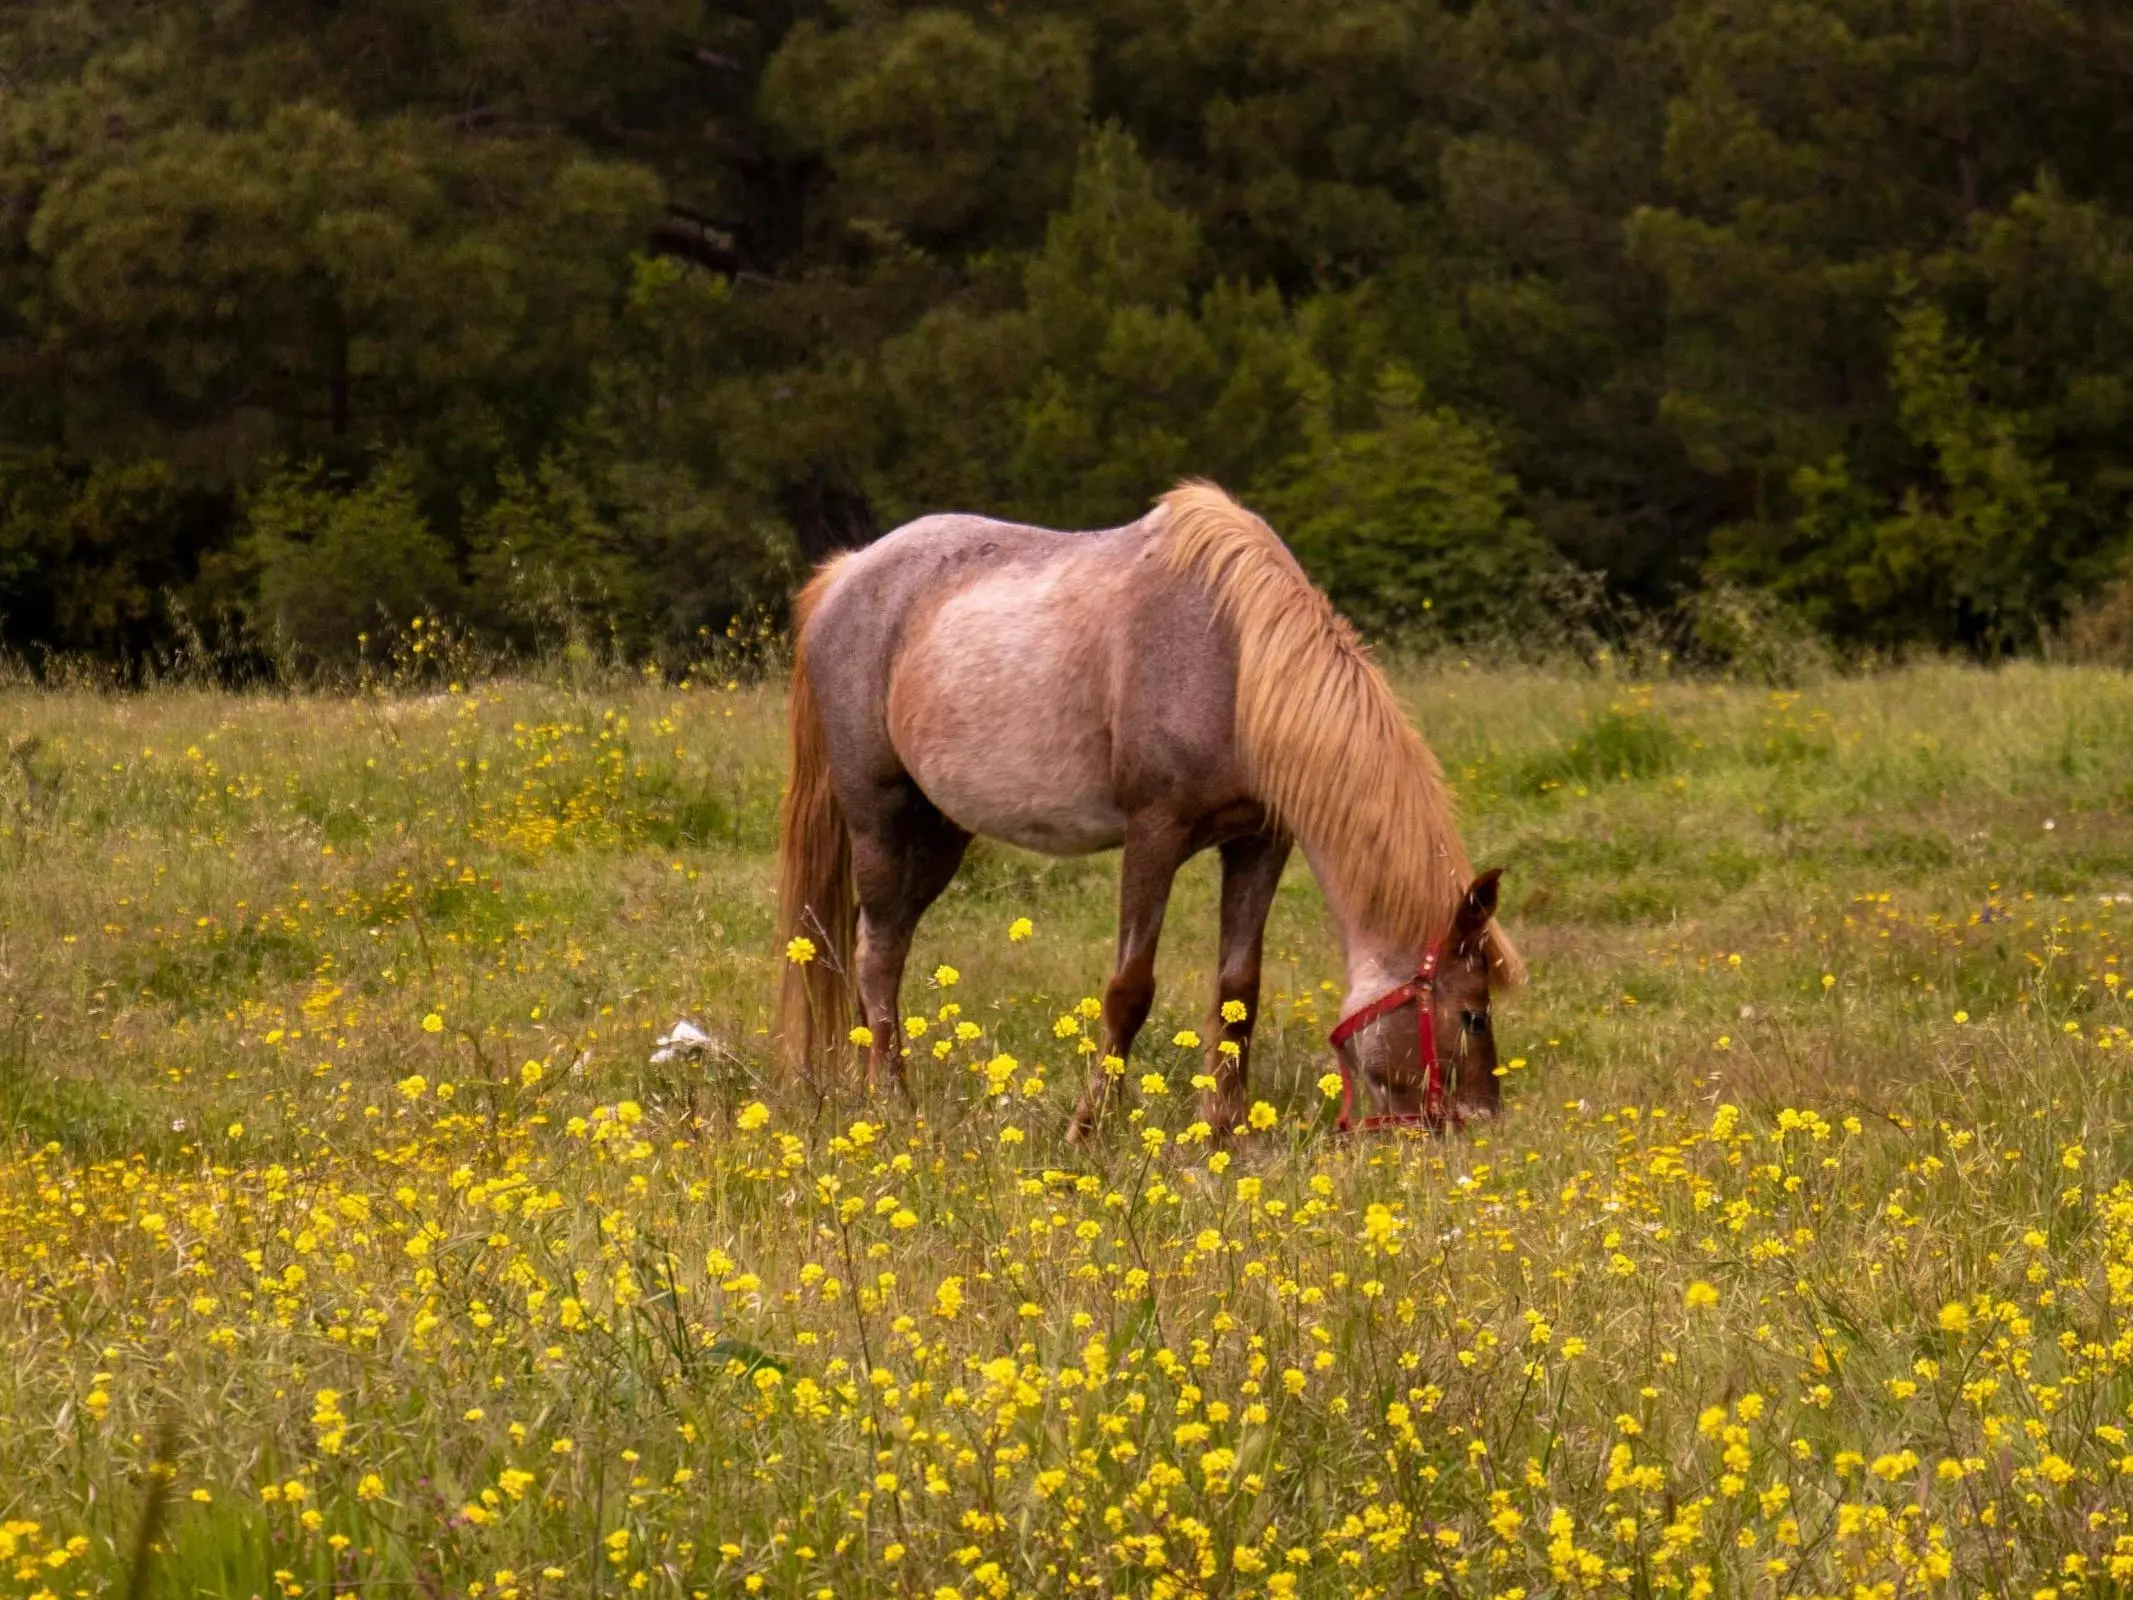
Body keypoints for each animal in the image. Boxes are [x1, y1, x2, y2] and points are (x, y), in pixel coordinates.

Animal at [776, 475, 1527, 1143]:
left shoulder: (1259, 843)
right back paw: (891, 1100)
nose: (1479, 1124)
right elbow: (1129, 991)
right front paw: (1088, 1128)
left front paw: (1224, 1127)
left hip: (939, 835)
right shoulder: (1153, 836)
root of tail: (844, 575)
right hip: (878, 817)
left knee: (886, 944)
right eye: (1473, 1014)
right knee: (875, 953)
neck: (1234, 662)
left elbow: (1238, 992)